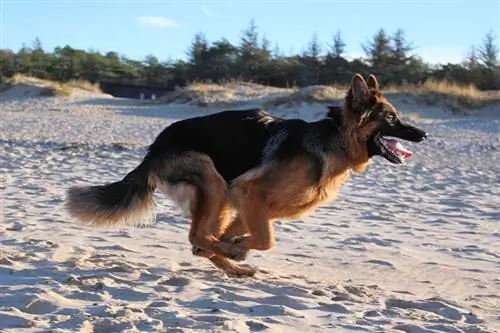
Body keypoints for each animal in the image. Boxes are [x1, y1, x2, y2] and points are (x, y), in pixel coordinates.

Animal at [64, 74, 428, 276]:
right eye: (392, 119)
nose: (424, 134)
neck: (334, 140)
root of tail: (154, 148)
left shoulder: (258, 207)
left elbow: (243, 236)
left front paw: (232, 245)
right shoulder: (249, 193)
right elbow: (266, 240)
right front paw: (238, 246)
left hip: (221, 196)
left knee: (201, 238)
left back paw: (234, 267)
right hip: (214, 181)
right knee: (197, 235)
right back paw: (233, 258)